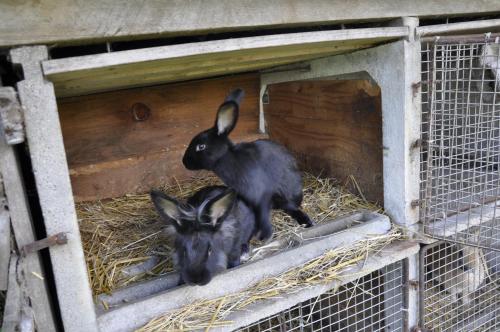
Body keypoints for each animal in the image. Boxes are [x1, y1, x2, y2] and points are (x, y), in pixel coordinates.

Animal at [184, 87, 312, 241]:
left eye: (201, 146)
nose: (184, 162)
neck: (227, 158)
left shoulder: (259, 194)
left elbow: (262, 214)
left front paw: (265, 235)